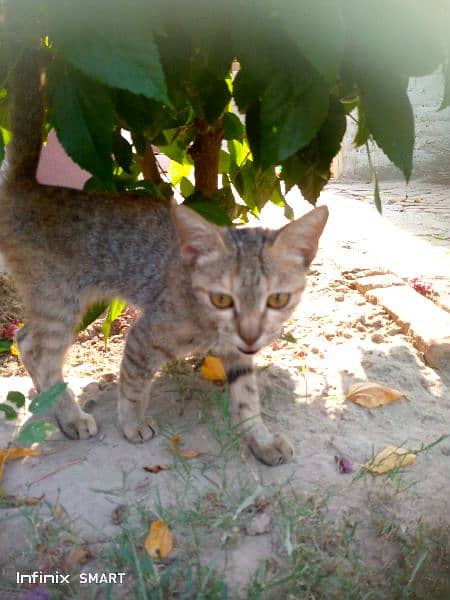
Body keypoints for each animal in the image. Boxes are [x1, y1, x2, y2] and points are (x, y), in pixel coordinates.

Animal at [0, 45, 326, 464]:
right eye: (222, 299)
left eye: (278, 299)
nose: (252, 335)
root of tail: (26, 185)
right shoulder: (144, 335)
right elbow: (133, 383)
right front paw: (132, 423)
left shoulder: (238, 355)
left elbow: (247, 399)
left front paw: (261, 440)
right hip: (60, 302)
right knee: (37, 349)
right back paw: (70, 415)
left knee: (25, 338)